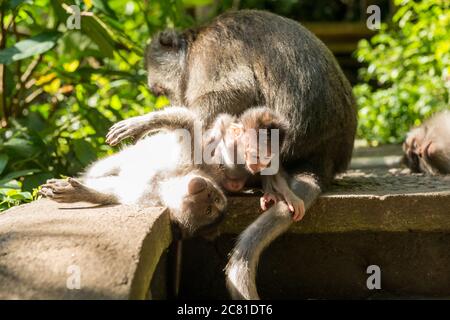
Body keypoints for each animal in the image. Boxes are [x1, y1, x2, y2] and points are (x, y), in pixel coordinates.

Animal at [114, 10, 356, 300]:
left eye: (161, 91)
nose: (173, 101)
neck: (194, 44)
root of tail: (324, 159)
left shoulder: (208, 54)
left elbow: (231, 92)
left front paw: (148, 125)